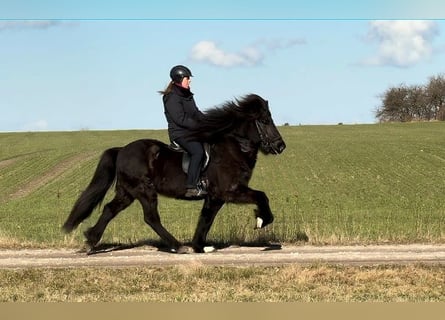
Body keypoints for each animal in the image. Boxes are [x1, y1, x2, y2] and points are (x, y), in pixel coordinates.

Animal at [61, 94, 284, 254]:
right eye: (265, 120)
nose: (281, 146)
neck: (233, 148)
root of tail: (122, 150)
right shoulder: (230, 191)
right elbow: (261, 196)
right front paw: (262, 219)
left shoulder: (215, 197)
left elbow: (206, 219)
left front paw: (200, 246)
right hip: (144, 190)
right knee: (151, 218)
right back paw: (178, 246)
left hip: (127, 192)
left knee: (109, 210)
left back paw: (91, 241)